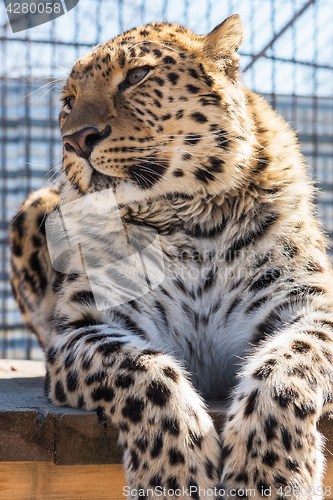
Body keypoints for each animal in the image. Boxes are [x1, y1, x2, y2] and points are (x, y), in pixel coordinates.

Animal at [8, 13, 333, 498]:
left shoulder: (311, 305)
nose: (76, 140)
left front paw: (269, 478)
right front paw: (172, 477)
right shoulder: (86, 327)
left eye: (137, 76)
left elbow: (286, 370)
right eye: (68, 102)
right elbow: (145, 373)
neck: (190, 223)